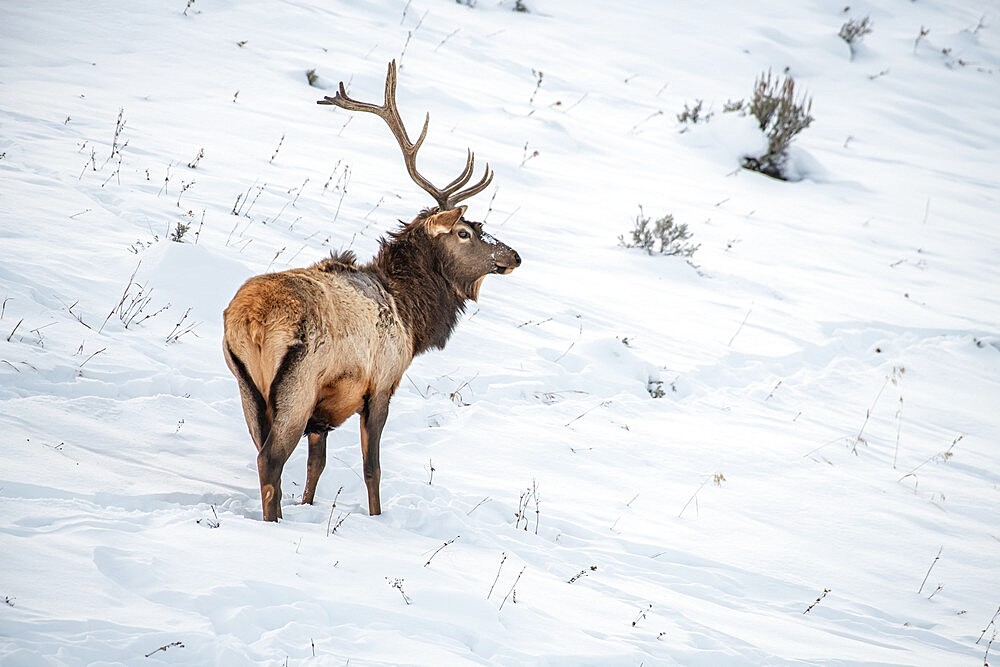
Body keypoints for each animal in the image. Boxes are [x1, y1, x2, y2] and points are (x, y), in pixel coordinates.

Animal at [225, 61, 524, 520]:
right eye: (465, 232)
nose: (514, 256)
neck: (411, 318)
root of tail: (250, 321)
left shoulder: (324, 411)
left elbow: (316, 465)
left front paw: (308, 505)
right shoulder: (381, 383)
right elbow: (372, 468)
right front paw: (377, 517)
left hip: (246, 386)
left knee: (262, 452)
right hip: (296, 383)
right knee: (270, 459)